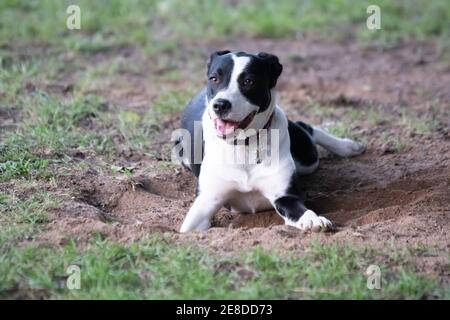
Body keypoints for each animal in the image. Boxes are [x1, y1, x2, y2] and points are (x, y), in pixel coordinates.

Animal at [174, 51, 364, 234]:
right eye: (214, 78)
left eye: (249, 81)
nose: (220, 105)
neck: (244, 144)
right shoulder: (206, 201)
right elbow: (187, 229)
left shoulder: (285, 197)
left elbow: (303, 211)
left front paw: (314, 220)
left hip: (307, 160)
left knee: (307, 128)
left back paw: (348, 146)